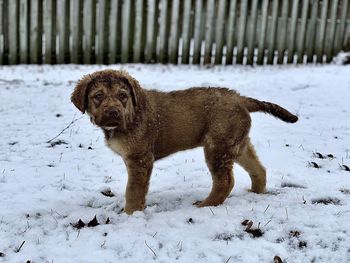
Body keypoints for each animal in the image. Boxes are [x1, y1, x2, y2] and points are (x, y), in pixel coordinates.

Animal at [72, 70, 298, 217]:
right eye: (98, 96)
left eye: (122, 95)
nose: (113, 113)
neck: (130, 115)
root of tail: (240, 98)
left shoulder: (139, 159)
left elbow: (133, 191)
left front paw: (130, 215)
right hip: (236, 143)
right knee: (258, 169)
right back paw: (256, 194)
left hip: (217, 147)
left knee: (225, 180)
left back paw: (206, 205)